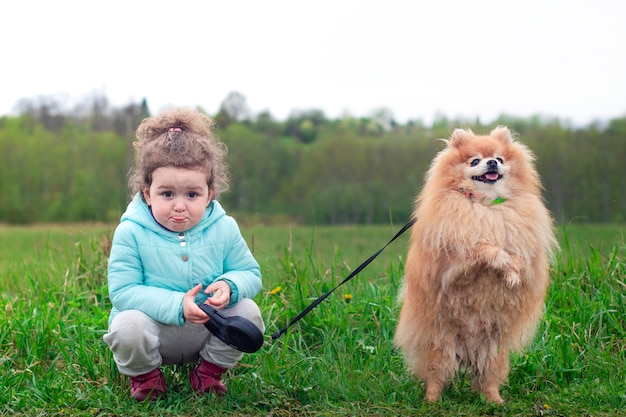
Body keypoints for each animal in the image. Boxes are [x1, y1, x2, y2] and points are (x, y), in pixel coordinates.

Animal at [394, 125, 556, 402]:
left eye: (499, 158)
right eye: (475, 161)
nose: (492, 162)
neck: (486, 205)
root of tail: (466, 353)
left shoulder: (520, 239)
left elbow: (518, 254)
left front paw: (513, 273)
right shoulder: (454, 263)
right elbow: (484, 247)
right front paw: (503, 263)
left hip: (493, 350)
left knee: (487, 377)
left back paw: (494, 399)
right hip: (441, 344)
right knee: (436, 375)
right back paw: (431, 399)